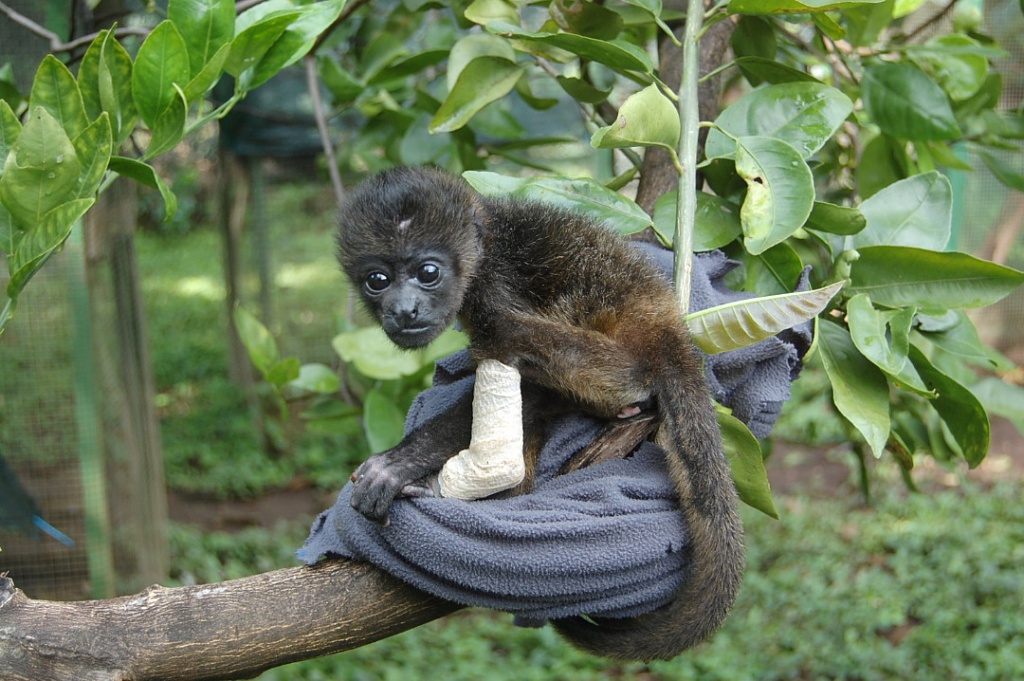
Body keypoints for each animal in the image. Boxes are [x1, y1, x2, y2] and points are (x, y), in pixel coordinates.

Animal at [335, 166, 745, 659]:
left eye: (427, 272)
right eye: (377, 279)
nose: (403, 309)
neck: (485, 246)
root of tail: (669, 326)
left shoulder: (493, 292)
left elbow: (514, 371)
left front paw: (399, 464)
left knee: (598, 367)